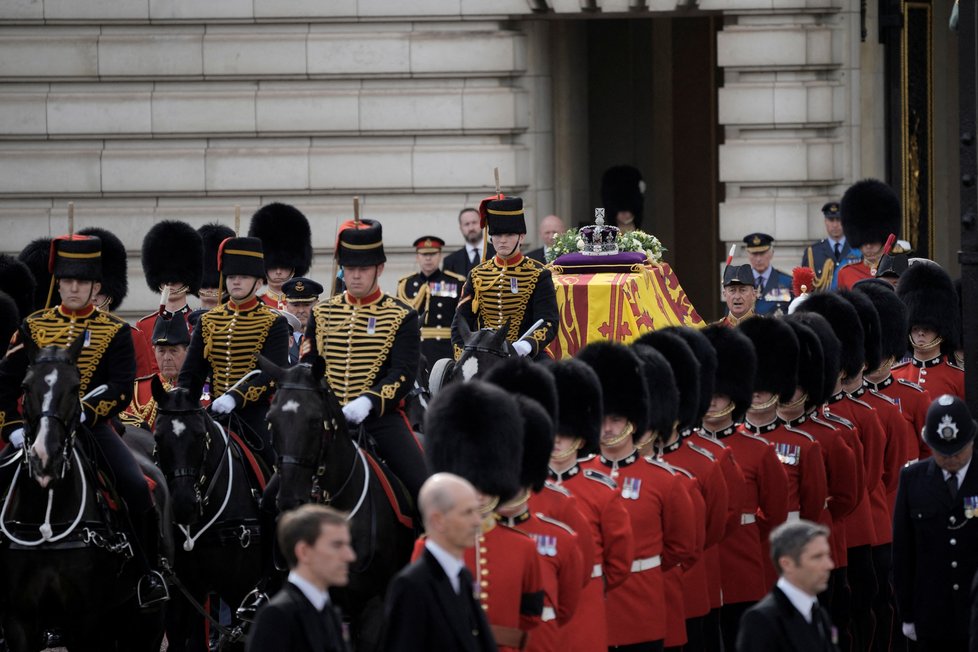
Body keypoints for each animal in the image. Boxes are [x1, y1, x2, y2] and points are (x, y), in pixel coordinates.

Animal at [0, 336, 165, 652]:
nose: (45, 457)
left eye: (75, 387)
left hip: (145, 621)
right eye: (25, 386)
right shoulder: (19, 621)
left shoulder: (86, 620)